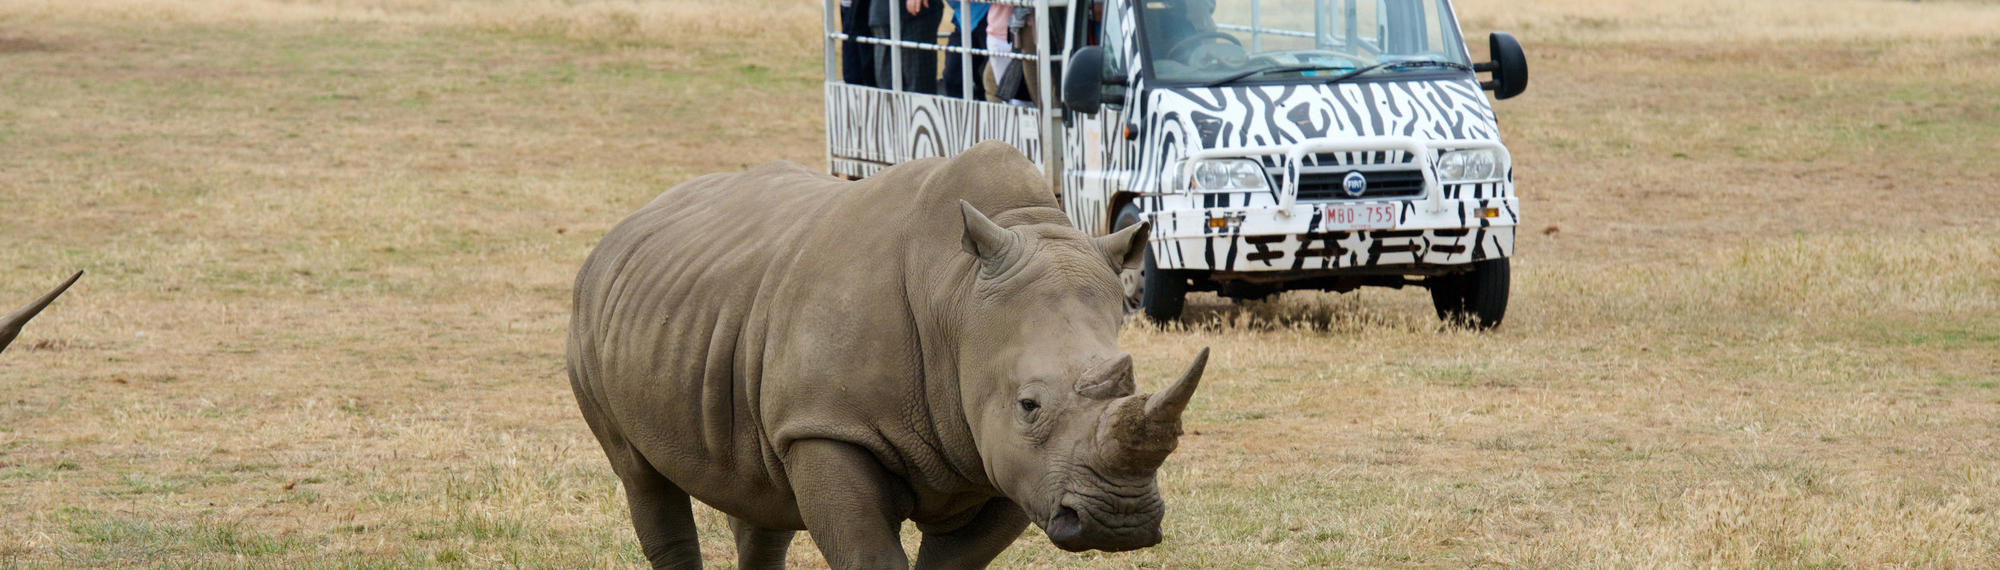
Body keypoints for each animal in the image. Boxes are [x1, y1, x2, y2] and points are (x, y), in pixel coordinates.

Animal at [566, 142, 1210, 569]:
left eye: (1132, 387)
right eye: (1029, 404)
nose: (1119, 520)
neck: (957, 300)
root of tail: (628, 224)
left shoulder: (1015, 462)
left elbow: (952, 562)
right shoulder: (826, 426)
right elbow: (868, 555)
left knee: (758, 492)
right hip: (590, 315)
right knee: (640, 476)